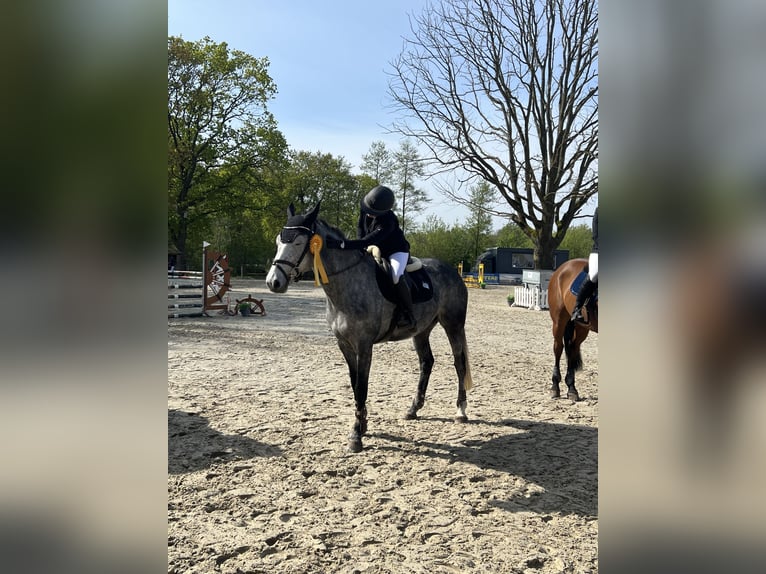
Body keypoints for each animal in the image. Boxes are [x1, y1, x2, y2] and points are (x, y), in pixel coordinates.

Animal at [265, 202, 474, 453]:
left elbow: (362, 386)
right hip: (422, 331)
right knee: (427, 362)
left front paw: (356, 435)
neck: (346, 286)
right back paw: (413, 409)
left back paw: (461, 410)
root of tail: (453, 271)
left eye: (297, 243)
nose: (273, 282)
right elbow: (354, 383)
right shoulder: (344, 344)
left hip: (453, 324)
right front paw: (362, 425)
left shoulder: (364, 345)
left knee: (459, 363)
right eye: (278, 242)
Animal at [546, 258, 598, 401]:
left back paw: (572, 389)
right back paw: (555, 387)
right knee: (558, 348)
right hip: (559, 321)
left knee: (573, 349)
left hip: (581, 327)